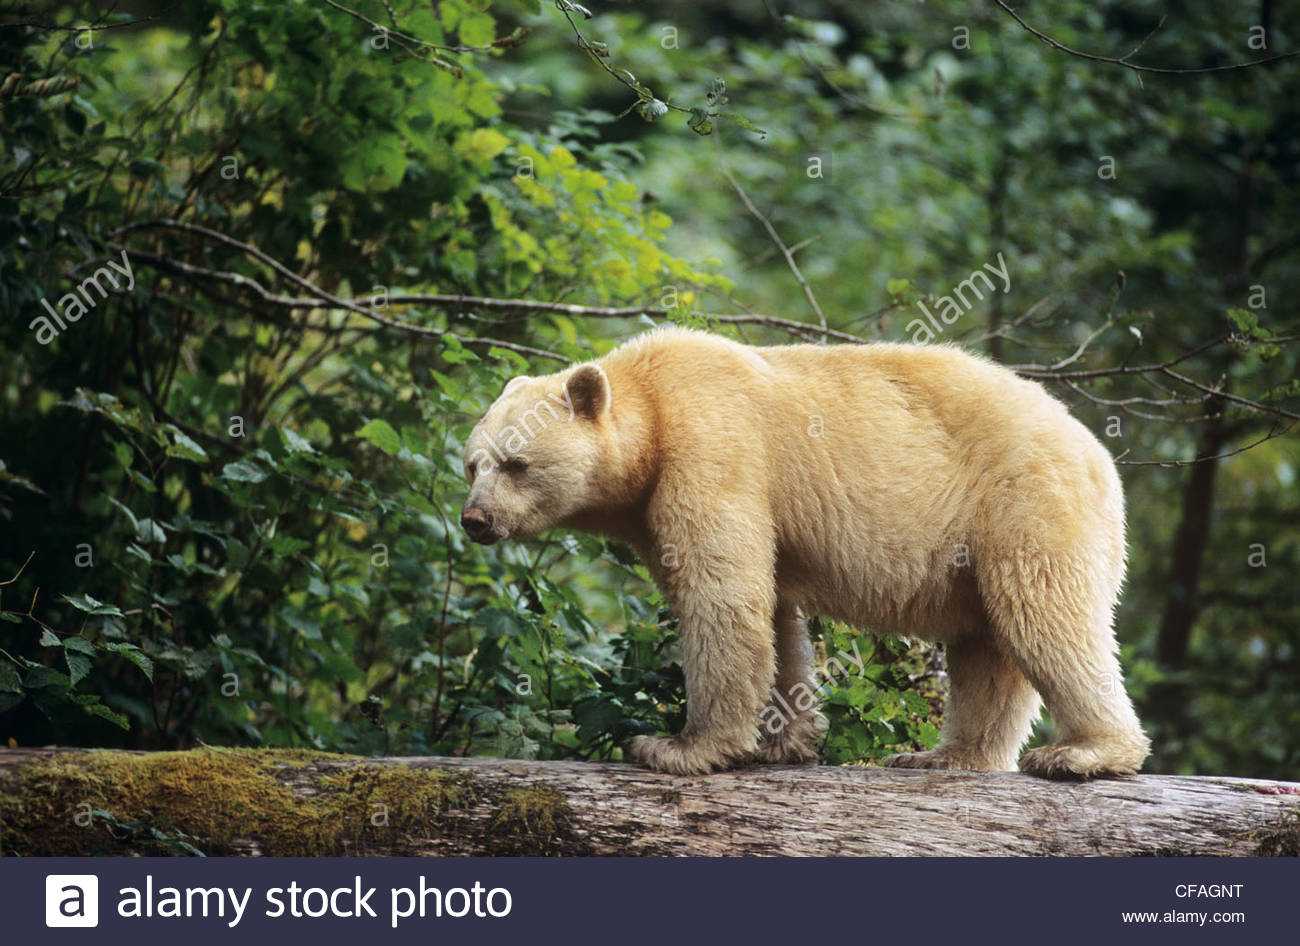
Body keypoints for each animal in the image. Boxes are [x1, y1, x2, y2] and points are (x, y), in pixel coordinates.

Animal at [460, 326, 1151, 779]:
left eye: (516, 463)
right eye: (471, 464)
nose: (475, 519)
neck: (652, 404)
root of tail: (1099, 455)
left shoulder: (711, 449)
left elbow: (720, 596)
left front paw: (677, 747)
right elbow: (773, 612)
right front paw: (783, 740)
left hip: (1023, 501)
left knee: (1044, 615)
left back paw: (1084, 753)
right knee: (987, 645)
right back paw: (944, 754)